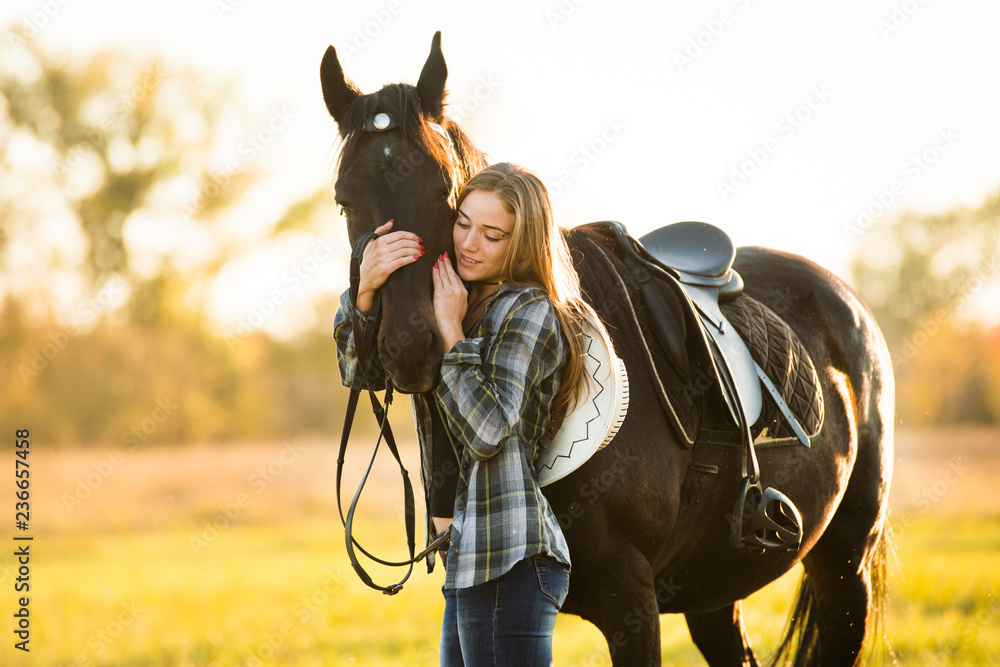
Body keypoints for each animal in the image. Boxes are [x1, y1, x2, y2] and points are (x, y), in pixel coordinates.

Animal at [320, 32, 894, 666]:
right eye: (345, 201)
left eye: (447, 193)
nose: (408, 344)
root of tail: (846, 300)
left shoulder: (631, 603)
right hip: (714, 589)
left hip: (844, 568)